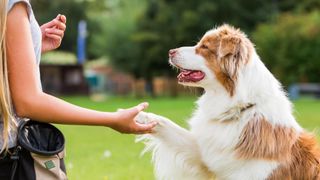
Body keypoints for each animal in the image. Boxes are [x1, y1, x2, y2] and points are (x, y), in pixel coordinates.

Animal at [135, 24, 320, 180]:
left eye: (204, 47)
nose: (170, 51)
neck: (239, 108)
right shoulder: (208, 154)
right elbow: (166, 124)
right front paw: (138, 116)